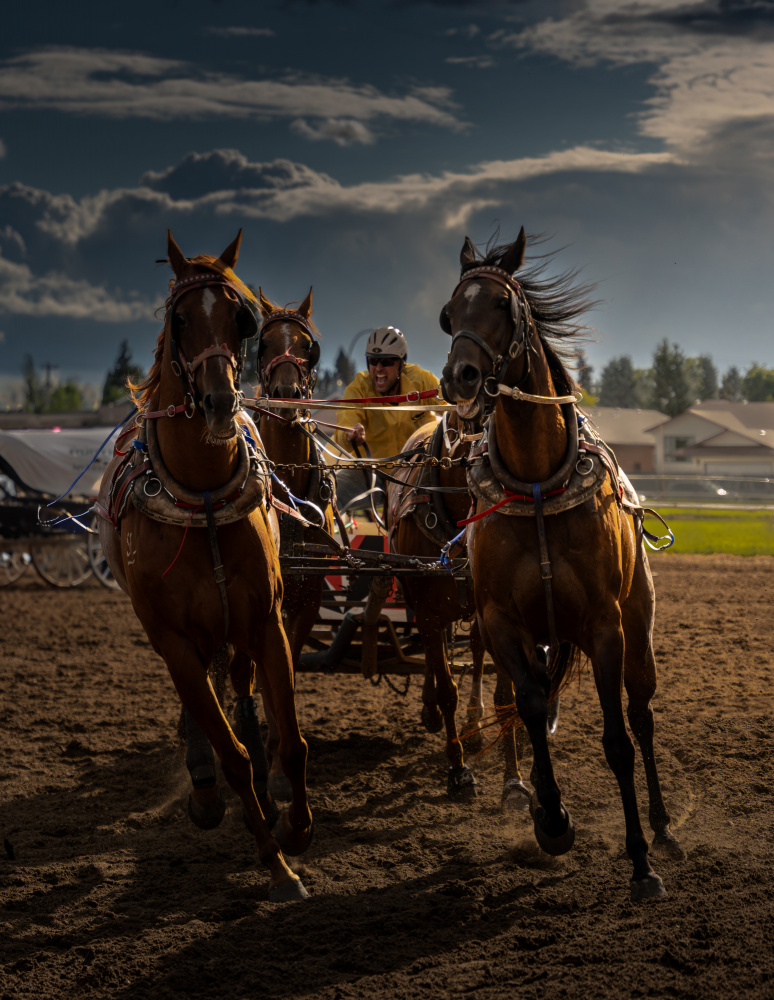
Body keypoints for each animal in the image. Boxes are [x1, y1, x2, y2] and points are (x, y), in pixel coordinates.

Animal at [96, 230, 312, 904]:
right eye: (180, 318)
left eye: (239, 318)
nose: (219, 402)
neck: (206, 499)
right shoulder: (175, 642)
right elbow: (231, 753)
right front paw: (275, 862)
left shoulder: (267, 622)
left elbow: (290, 742)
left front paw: (296, 826)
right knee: (204, 711)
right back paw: (204, 783)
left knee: (237, 683)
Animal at [440, 230, 684, 904]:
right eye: (449, 312)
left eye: (502, 304)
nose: (459, 376)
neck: (537, 483)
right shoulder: (502, 623)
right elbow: (525, 704)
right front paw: (550, 818)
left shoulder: (604, 625)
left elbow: (618, 741)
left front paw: (640, 862)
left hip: (638, 628)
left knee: (642, 716)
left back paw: (662, 828)